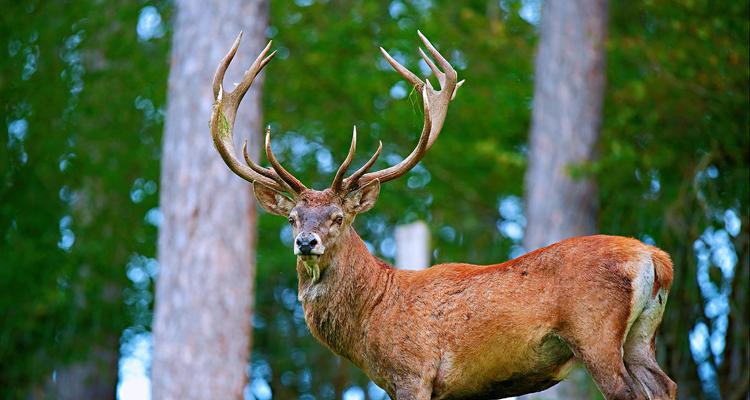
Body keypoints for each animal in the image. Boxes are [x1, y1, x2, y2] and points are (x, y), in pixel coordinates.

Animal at [209, 31, 680, 400]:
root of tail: (656, 260)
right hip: (641, 337)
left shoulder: (412, 372)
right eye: (292, 218)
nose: (306, 242)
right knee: (665, 385)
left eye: (339, 217)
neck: (373, 317)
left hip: (594, 332)